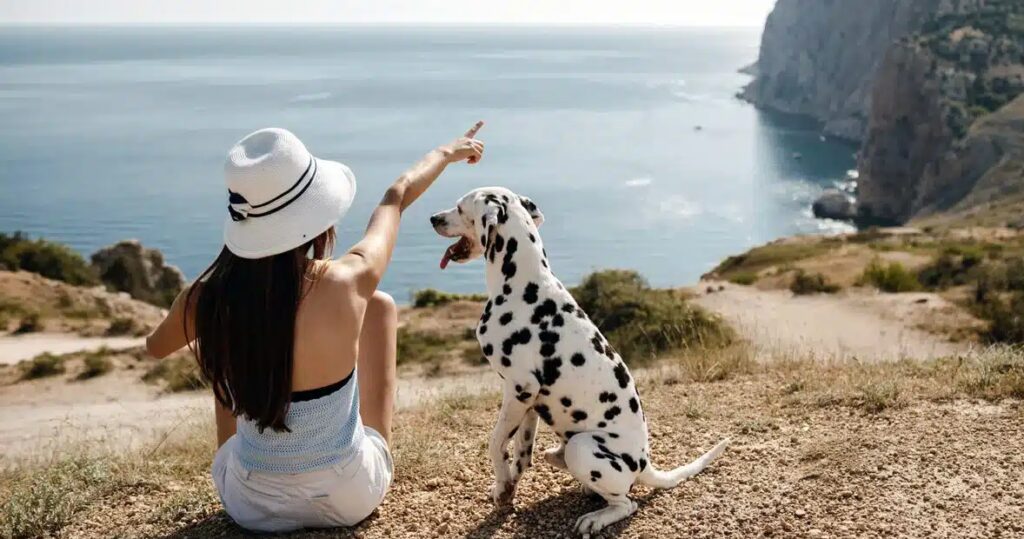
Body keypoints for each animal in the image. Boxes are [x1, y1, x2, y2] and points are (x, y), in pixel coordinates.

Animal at [428, 189, 733, 536]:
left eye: (460, 207)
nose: (433, 218)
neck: (523, 285)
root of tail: (644, 464)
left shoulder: (519, 389)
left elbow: (495, 443)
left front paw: (502, 482)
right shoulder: (529, 401)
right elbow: (520, 451)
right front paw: (507, 487)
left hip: (581, 447)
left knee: (626, 503)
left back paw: (596, 518)